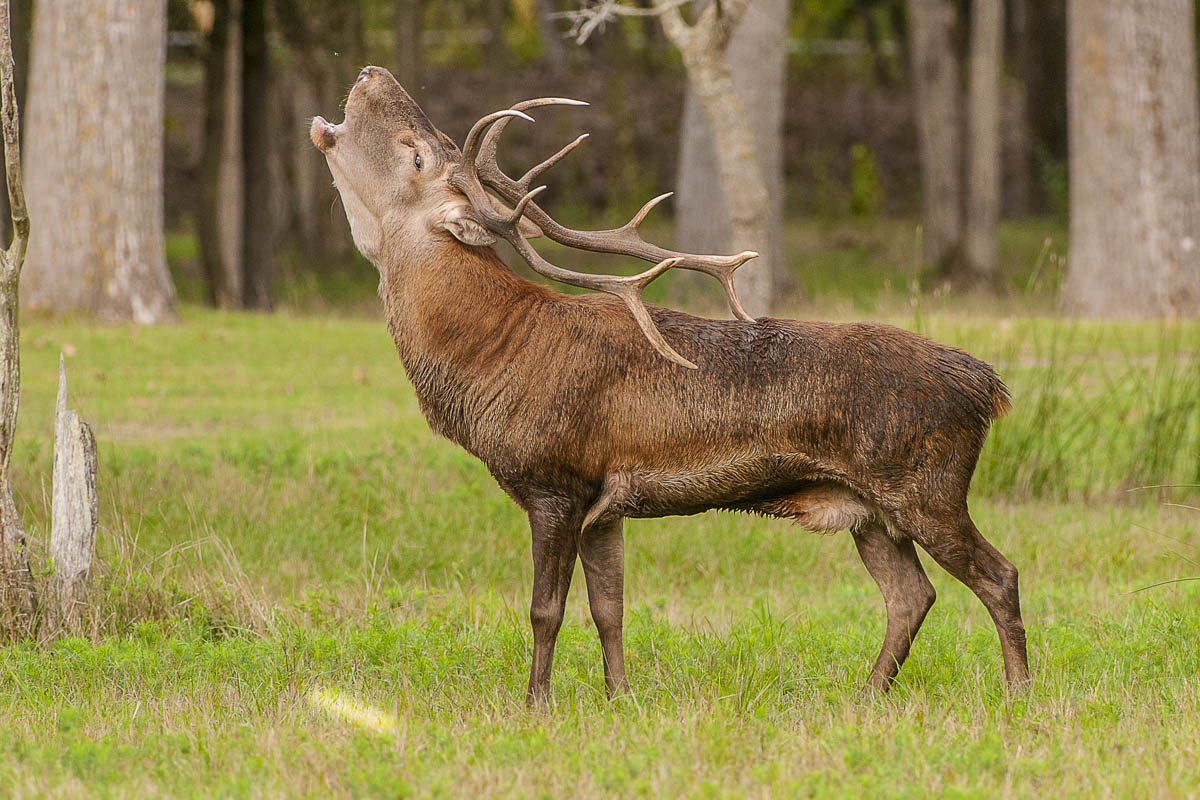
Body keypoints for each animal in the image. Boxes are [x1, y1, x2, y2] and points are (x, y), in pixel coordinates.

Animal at [310, 66, 1030, 705]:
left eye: (416, 154)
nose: (370, 72)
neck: (491, 359)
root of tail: (986, 385)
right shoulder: (605, 506)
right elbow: (609, 607)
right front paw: (620, 696)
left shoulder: (556, 483)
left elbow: (545, 609)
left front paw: (536, 703)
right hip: (870, 510)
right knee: (912, 594)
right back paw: (865, 695)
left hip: (926, 486)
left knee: (998, 575)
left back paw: (1019, 693)